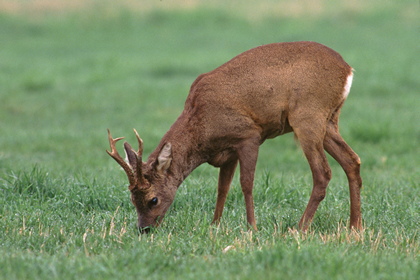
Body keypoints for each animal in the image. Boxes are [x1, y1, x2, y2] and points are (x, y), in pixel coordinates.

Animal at [106, 41, 362, 232]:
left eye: (153, 199)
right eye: (132, 199)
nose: (144, 229)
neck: (202, 126)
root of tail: (347, 69)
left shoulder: (249, 135)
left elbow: (246, 184)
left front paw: (252, 227)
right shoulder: (227, 152)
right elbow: (223, 188)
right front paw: (215, 225)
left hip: (307, 117)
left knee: (323, 172)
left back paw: (299, 227)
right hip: (328, 121)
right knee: (352, 160)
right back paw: (354, 226)